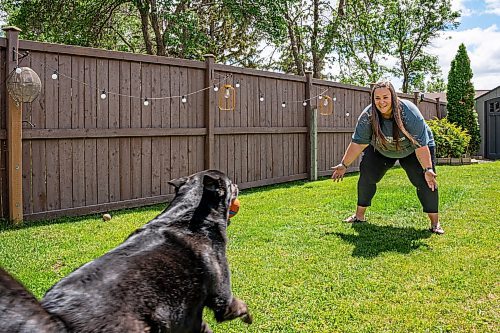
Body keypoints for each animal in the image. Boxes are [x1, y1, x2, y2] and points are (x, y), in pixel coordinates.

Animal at [0, 170, 250, 330]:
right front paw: (248, 316)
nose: (238, 184)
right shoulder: (222, 299)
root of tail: (57, 317)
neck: (190, 215)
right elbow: (238, 306)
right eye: (230, 183)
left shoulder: (186, 316)